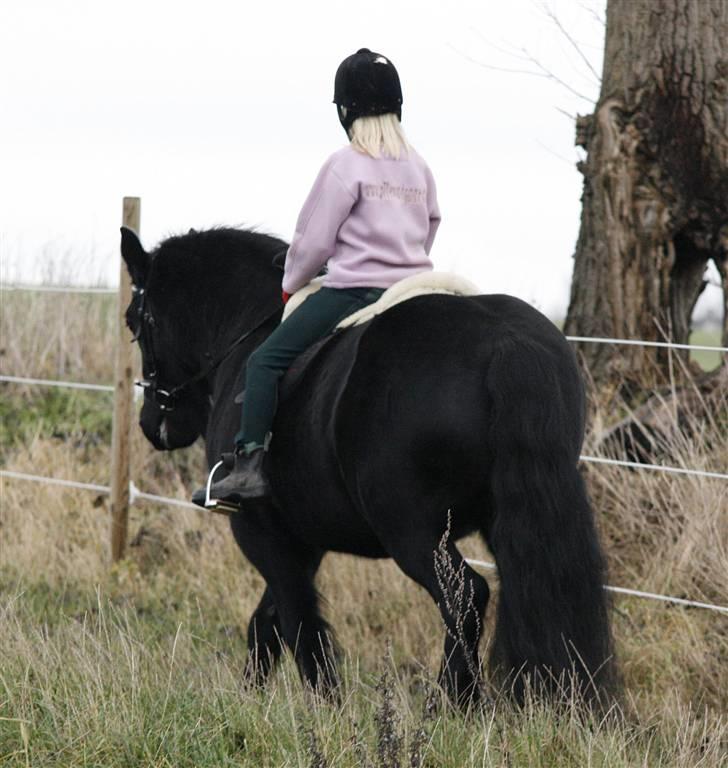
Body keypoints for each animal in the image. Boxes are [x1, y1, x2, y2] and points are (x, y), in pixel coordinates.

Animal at [120, 225, 616, 706]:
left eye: (134, 321)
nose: (152, 425)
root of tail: (506, 343)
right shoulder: (303, 539)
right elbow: (267, 622)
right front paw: (251, 699)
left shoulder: (261, 532)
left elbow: (299, 623)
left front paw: (326, 708)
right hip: (508, 517)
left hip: (411, 528)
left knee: (465, 598)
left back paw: (455, 705)